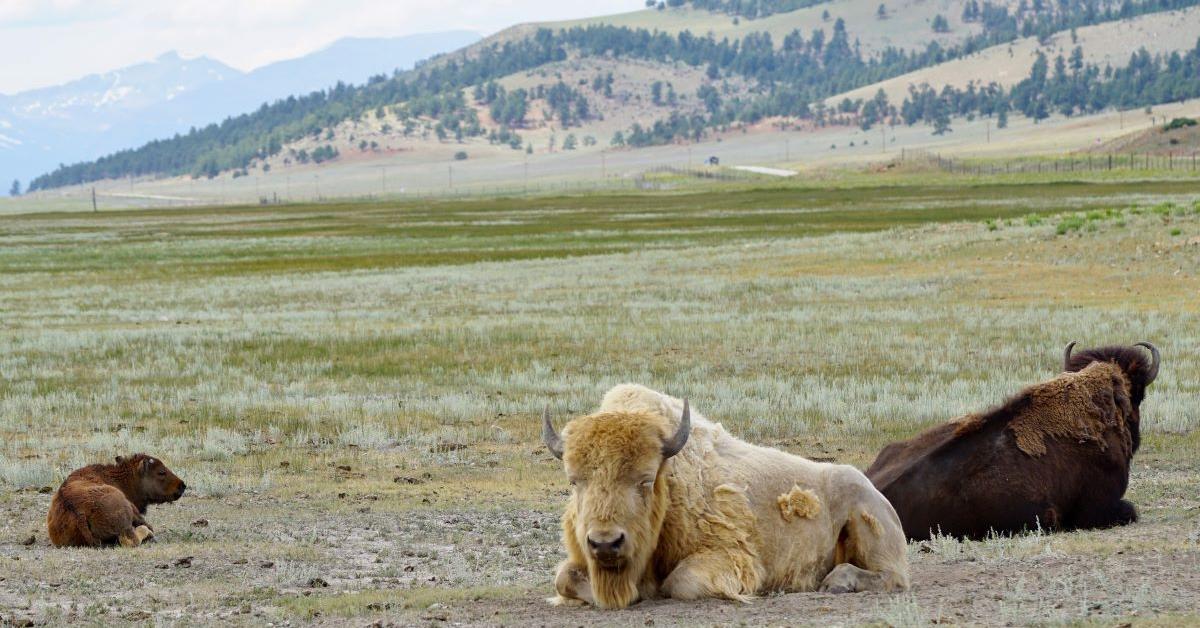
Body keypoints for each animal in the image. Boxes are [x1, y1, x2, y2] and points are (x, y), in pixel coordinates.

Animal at [544, 384, 907, 609]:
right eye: (574, 481)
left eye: (645, 480)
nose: (605, 543)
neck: (670, 479)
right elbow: (563, 578)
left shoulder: (730, 557)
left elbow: (679, 582)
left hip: (865, 519)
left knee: (893, 576)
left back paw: (837, 581)